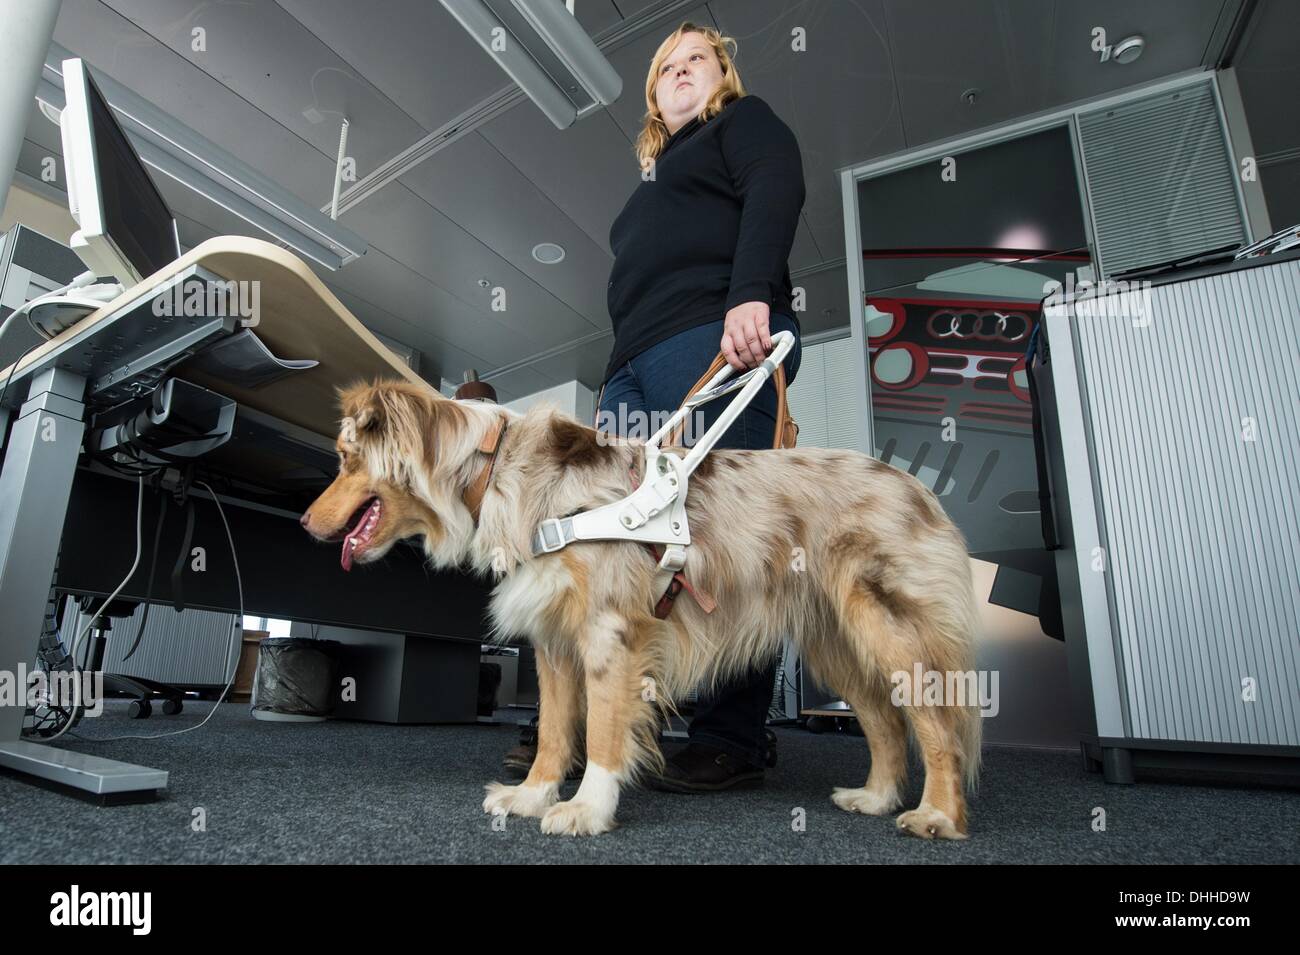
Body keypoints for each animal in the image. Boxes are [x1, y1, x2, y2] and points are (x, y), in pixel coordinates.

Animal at [299, 379, 977, 836]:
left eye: (344, 459)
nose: (304, 523)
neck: (501, 474)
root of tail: (919, 487)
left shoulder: (610, 633)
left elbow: (601, 730)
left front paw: (585, 809)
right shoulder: (553, 641)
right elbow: (553, 732)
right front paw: (532, 796)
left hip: (884, 625)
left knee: (935, 723)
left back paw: (937, 815)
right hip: (835, 640)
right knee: (885, 721)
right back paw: (877, 797)